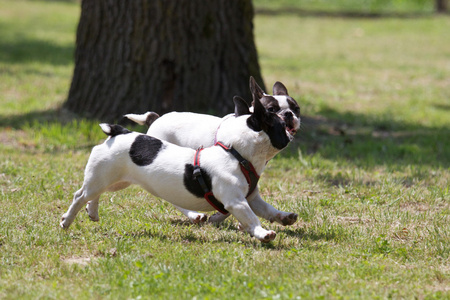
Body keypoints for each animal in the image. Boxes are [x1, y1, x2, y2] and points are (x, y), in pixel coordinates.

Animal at [59, 97, 298, 243]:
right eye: (279, 124)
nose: (291, 126)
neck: (237, 154)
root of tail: (119, 132)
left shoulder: (252, 197)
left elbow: (267, 209)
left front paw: (284, 217)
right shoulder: (236, 202)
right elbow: (252, 218)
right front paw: (263, 233)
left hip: (115, 181)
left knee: (94, 194)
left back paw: (93, 211)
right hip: (103, 177)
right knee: (80, 195)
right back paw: (67, 220)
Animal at [124, 78, 298, 225]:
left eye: (296, 109)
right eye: (271, 109)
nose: (288, 114)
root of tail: (155, 119)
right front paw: (220, 218)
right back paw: (194, 215)